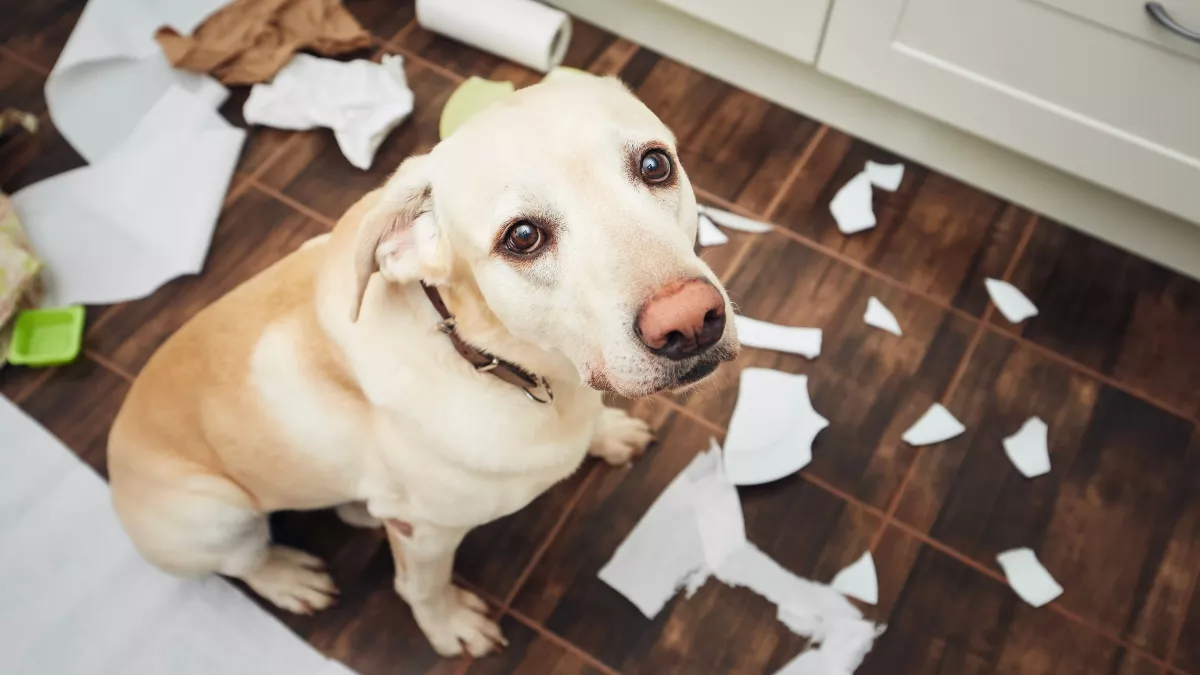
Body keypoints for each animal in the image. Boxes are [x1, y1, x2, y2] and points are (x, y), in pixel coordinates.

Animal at [110, 74, 739, 658]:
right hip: (214, 516)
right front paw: (449, 627)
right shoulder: (425, 535)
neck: (495, 359)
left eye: (655, 164)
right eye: (523, 237)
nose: (689, 322)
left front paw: (608, 433)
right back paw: (287, 577)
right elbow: (421, 588)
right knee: (244, 561)